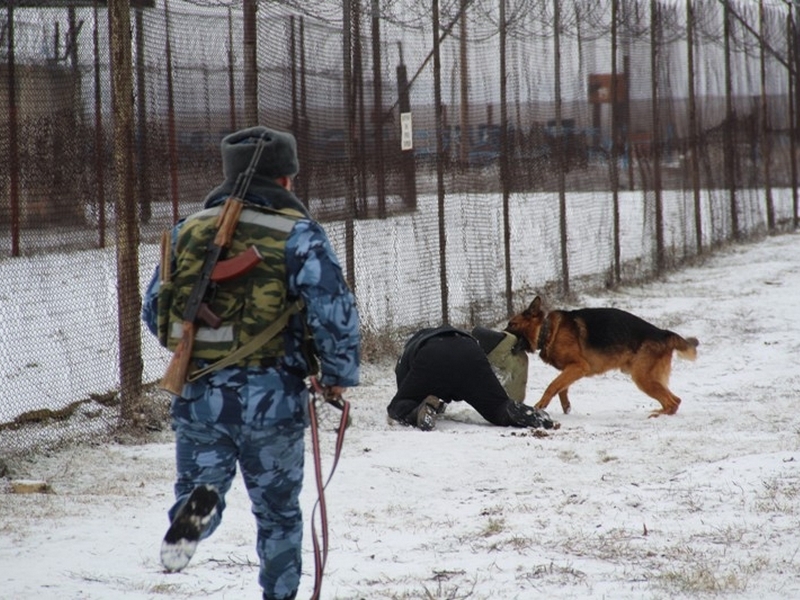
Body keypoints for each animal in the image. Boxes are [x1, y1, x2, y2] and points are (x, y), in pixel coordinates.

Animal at [506, 296, 700, 418]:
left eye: (512, 324)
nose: (501, 333)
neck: (546, 330)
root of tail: (663, 333)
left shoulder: (579, 366)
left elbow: (553, 385)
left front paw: (541, 404)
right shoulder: (571, 370)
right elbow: (562, 388)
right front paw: (566, 406)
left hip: (643, 378)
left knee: (672, 402)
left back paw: (658, 415)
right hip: (650, 378)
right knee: (675, 400)